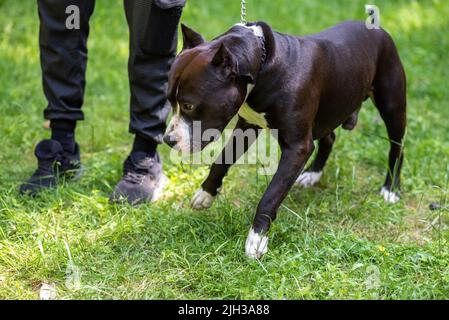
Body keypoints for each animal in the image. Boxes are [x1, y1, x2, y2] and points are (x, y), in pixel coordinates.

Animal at [162, 21, 406, 258]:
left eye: (188, 105)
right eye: (170, 101)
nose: (167, 140)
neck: (262, 65)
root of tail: (374, 26)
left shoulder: (297, 148)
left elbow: (271, 194)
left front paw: (257, 238)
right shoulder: (246, 126)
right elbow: (222, 161)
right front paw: (206, 193)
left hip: (392, 105)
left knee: (397, 147)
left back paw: (391, 188)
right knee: (329, 137)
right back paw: (313, 174)